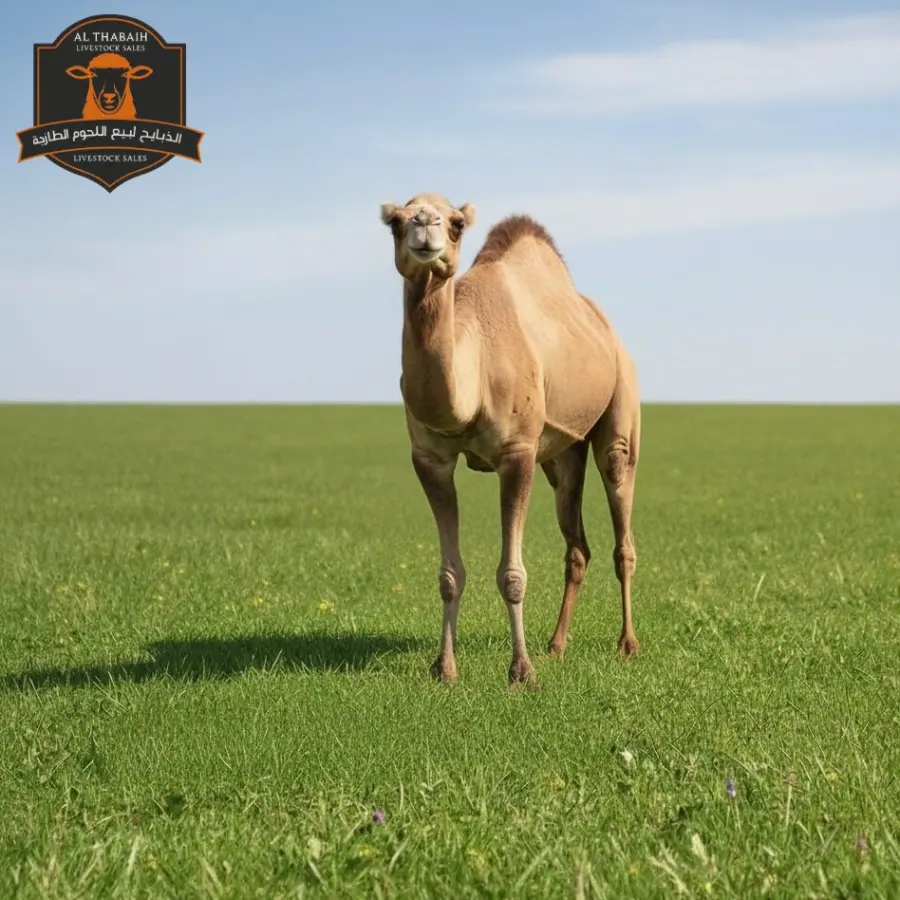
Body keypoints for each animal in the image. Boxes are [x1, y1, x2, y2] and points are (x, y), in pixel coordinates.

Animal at [380, 193, 641, 686]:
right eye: (395, 223)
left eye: (457, 224)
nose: (425, 224)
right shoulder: (429, 458)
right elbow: (449, 574)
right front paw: (444, 668)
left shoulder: (517, 453)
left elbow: (512, 575)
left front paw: (521, 672)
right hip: (561, 455)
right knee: (577, 546)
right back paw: (556, 645)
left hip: (621, 406)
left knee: (622, 529)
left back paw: (627, 644)